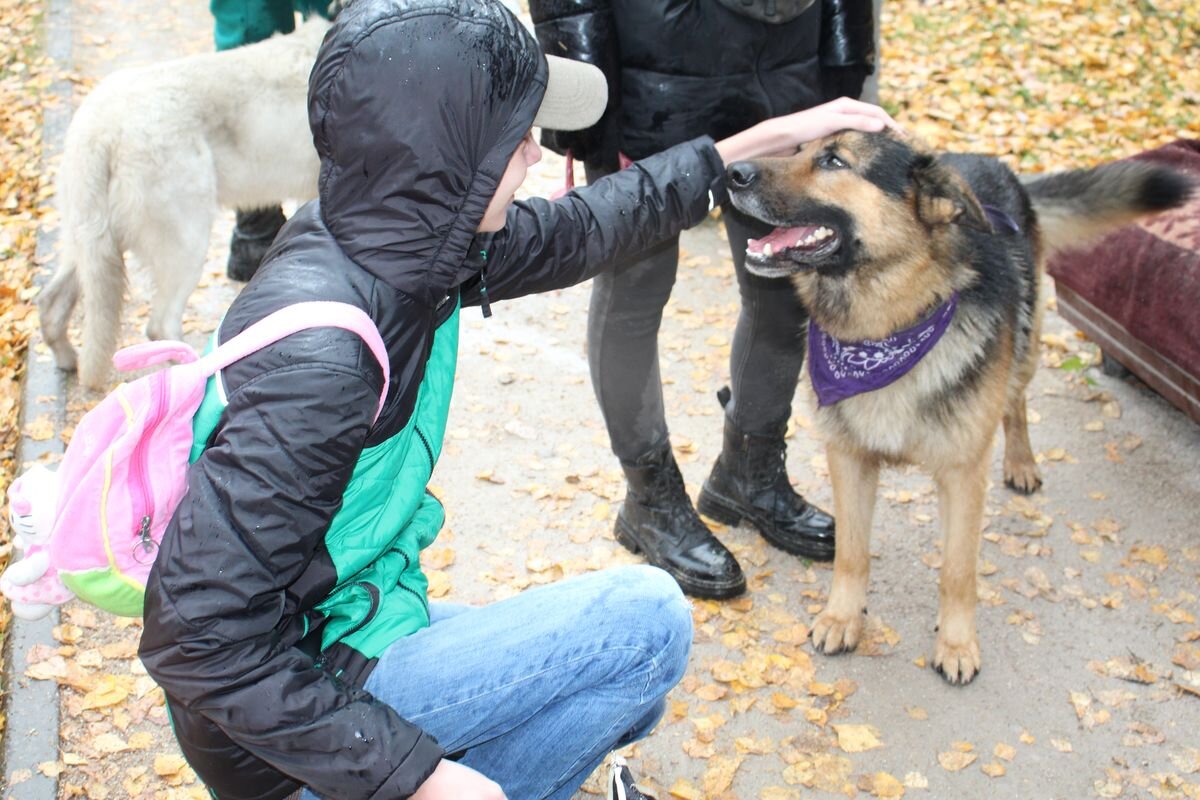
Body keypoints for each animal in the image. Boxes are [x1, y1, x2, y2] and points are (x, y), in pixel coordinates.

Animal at [38, 20, 328, 388]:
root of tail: (99, 129)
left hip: (87, 246)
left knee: (50, 303)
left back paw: (67, 361)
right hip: (188, 245)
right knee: (160, 324)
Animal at [720, 131, 1190, 681]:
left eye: (834, 160)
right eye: (797, 149)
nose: (731, 172)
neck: (887, 325)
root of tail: (982, 159)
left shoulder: (964, 474)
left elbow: (958, 571)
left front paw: (957, 643)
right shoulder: (849, 460)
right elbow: (852, 554)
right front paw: (843, 617)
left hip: (1026, 348)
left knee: (1016, 401)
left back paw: (1022, 462)